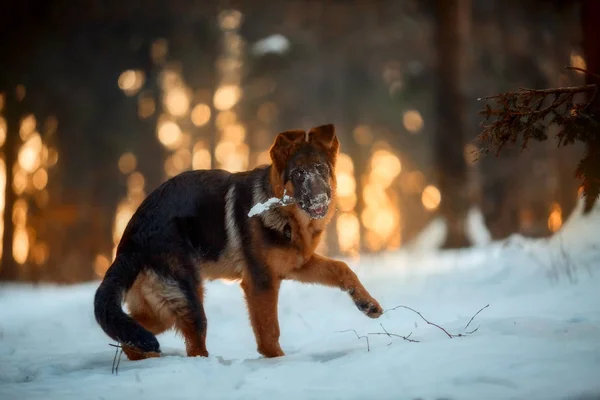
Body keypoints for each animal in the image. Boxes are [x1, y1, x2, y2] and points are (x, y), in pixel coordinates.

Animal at [94, 124, 384, 360]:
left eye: (321, 168)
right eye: (299, 173)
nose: (320, 199)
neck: (286, 215)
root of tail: (130, 244)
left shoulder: (297, 265)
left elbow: (341, 267)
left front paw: (366, 302)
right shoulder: (261, 283)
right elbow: (269, 333)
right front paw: (278, 362)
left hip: (162, 310)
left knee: (132, 337)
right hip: (189, 301)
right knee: (193, 347)